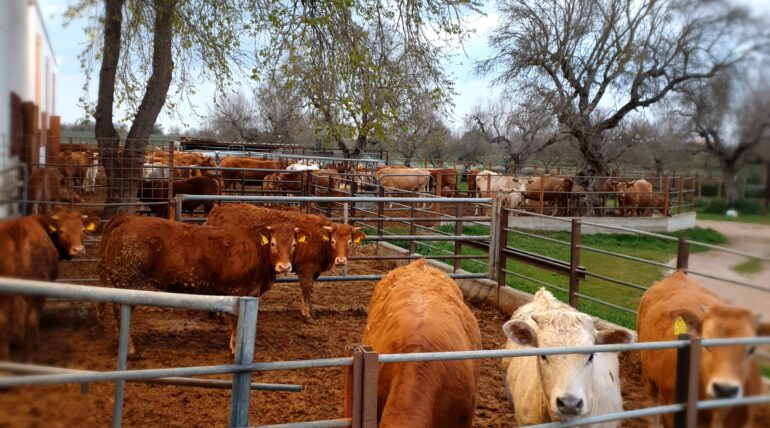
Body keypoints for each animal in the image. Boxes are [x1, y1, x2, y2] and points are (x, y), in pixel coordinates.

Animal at [99, 214, 306, 354]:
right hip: (128, 281)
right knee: (121, 311)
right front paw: (234, 347)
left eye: (294, 245)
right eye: (273, 243)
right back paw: (129, 348)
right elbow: (236, 321)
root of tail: (127, 219)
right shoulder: (240, 291)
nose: (285, 266)